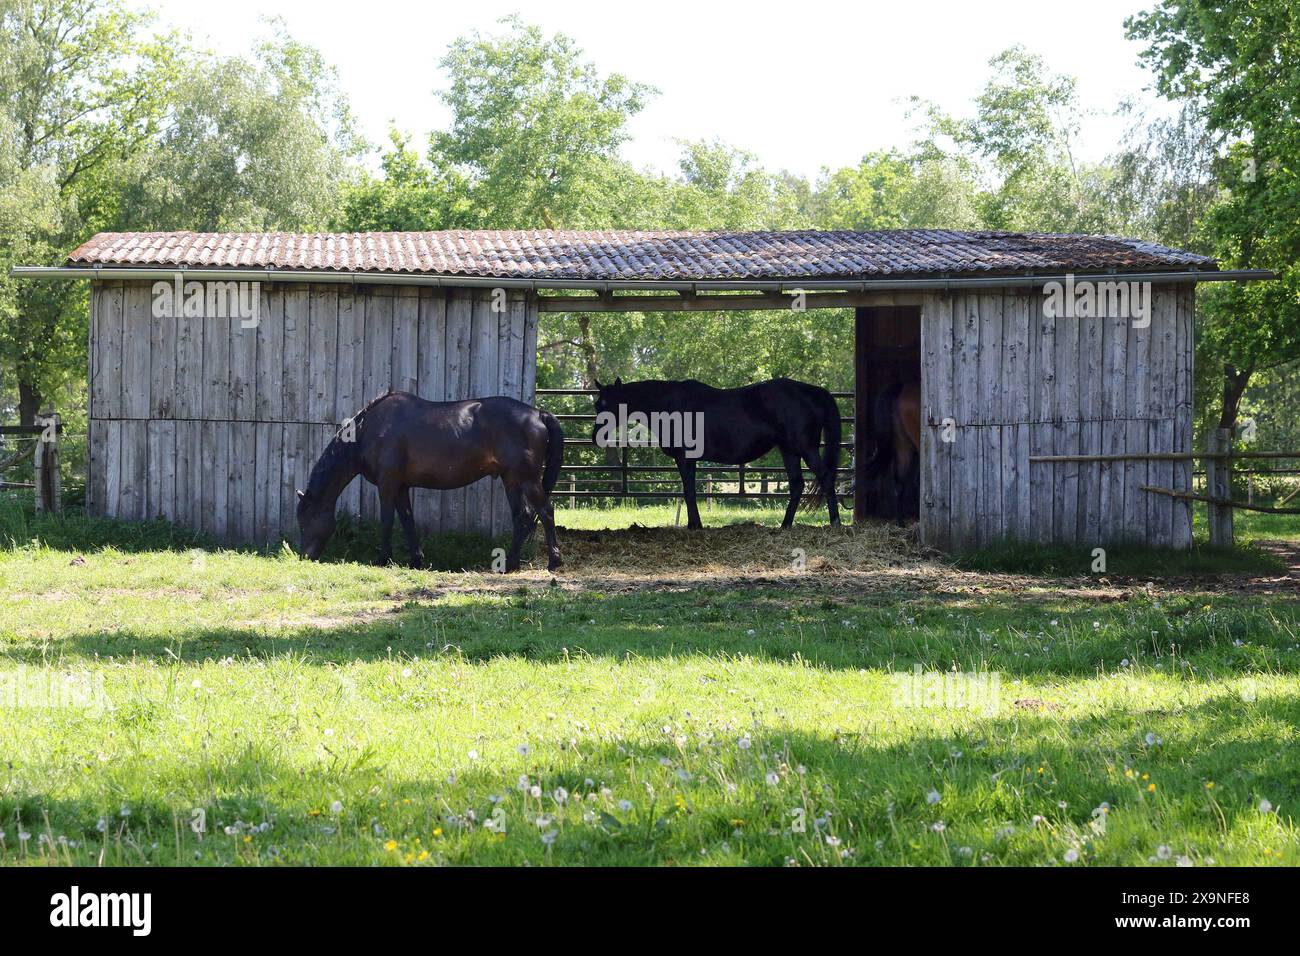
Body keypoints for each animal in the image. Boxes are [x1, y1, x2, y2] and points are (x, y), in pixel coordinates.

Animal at [296, 391, 565, 572]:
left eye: (305, 519)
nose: (304, 557)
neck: (369, 430)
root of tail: (537, 413)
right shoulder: (401, 486)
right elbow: (407, 519)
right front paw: (416, 560)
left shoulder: (388, 483)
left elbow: (387, 520)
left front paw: (383, 559)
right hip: (511, 480)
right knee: (522, 517)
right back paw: (510, 564)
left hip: (528, 479)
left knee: (546, 512)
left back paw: (554, 562)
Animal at [591, 376, 842, 529]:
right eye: (597, 405)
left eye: (611, 404)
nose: (596, 436)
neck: (669, 404)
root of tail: (812, 391)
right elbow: (689, 491)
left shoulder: (685, 458)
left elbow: (689, 492)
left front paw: (694, 525)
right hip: (789, 450)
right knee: (797, 484)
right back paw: (785, 525)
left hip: (806, 449)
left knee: (825, 478)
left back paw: (835, 523)